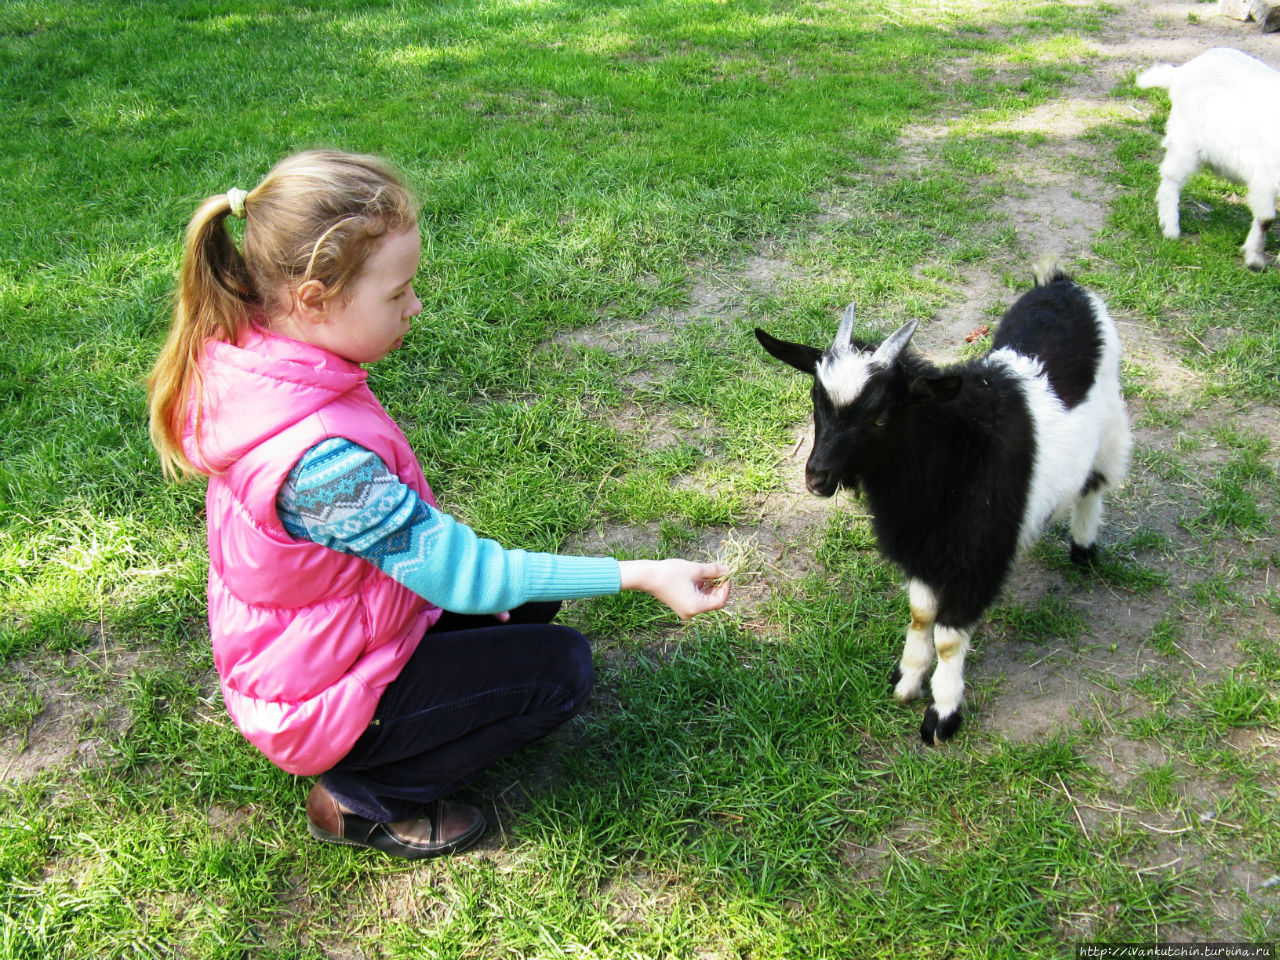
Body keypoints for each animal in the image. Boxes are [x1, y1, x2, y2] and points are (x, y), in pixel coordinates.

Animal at [757, 267, 1131, 747]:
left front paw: (943, 714)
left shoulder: (978, 561)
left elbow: (950, 639)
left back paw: (1084, 551)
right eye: (815, 399)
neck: (958, 451)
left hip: (1111, 427)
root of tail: (1062, 283)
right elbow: (920, 617)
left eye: (881, 415)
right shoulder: (921, 550)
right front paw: (906, 681)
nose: (817, 478)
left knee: (1094, 485)